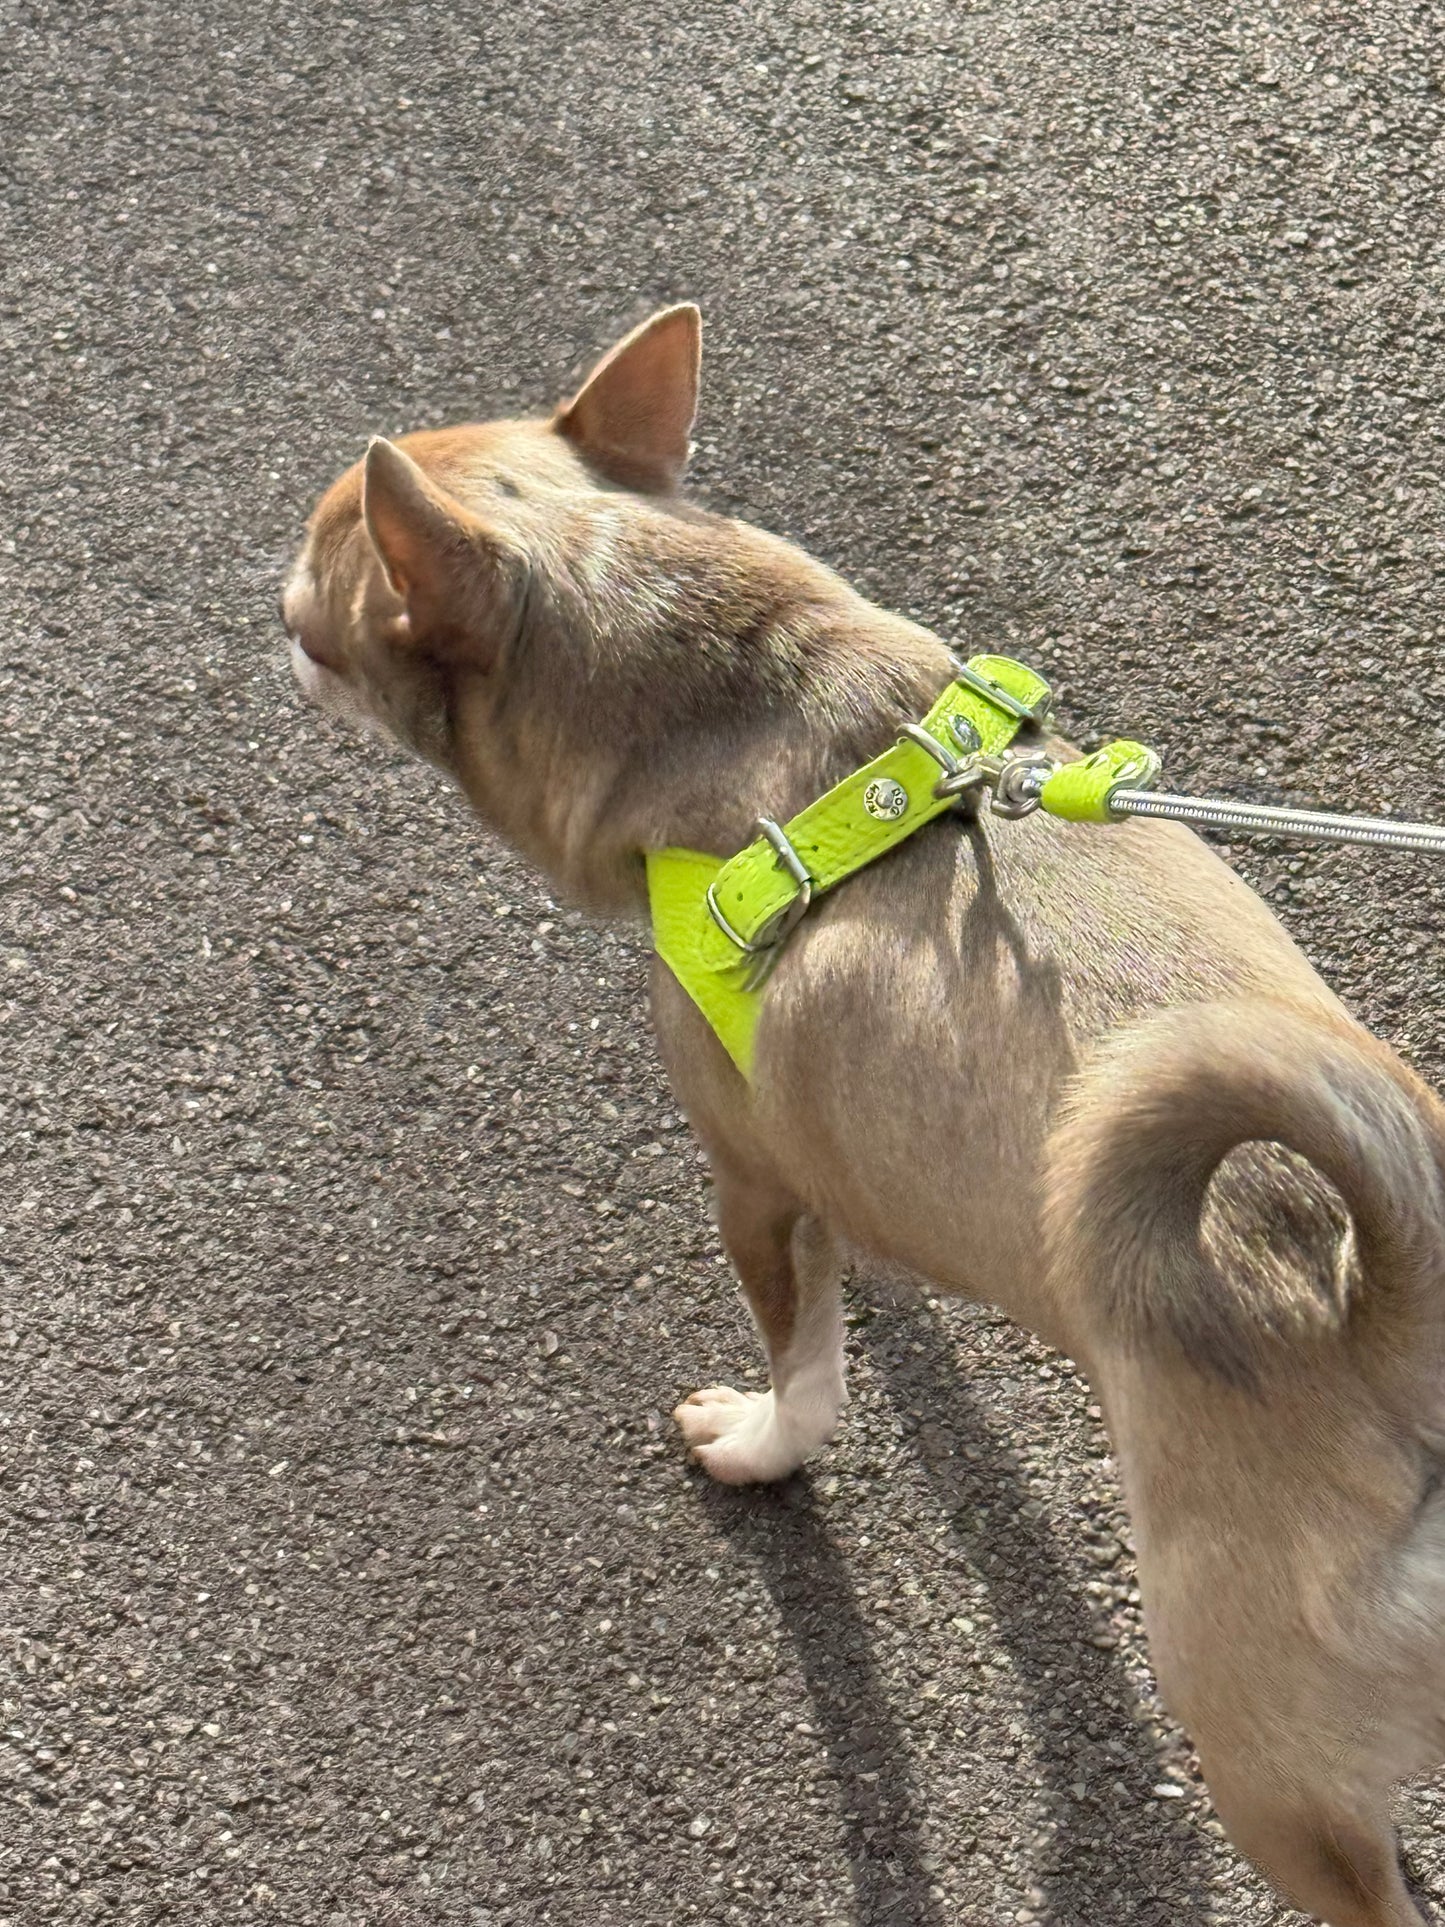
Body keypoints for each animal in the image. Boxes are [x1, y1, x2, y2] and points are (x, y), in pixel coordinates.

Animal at [283, 308, 1445, 1919]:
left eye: (323, 570)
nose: (269, 602)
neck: (749, 700)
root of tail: (1387, 1321)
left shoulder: (748, 1179)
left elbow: (804, 1361)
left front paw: (762, 1438)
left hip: (1265, 1751)